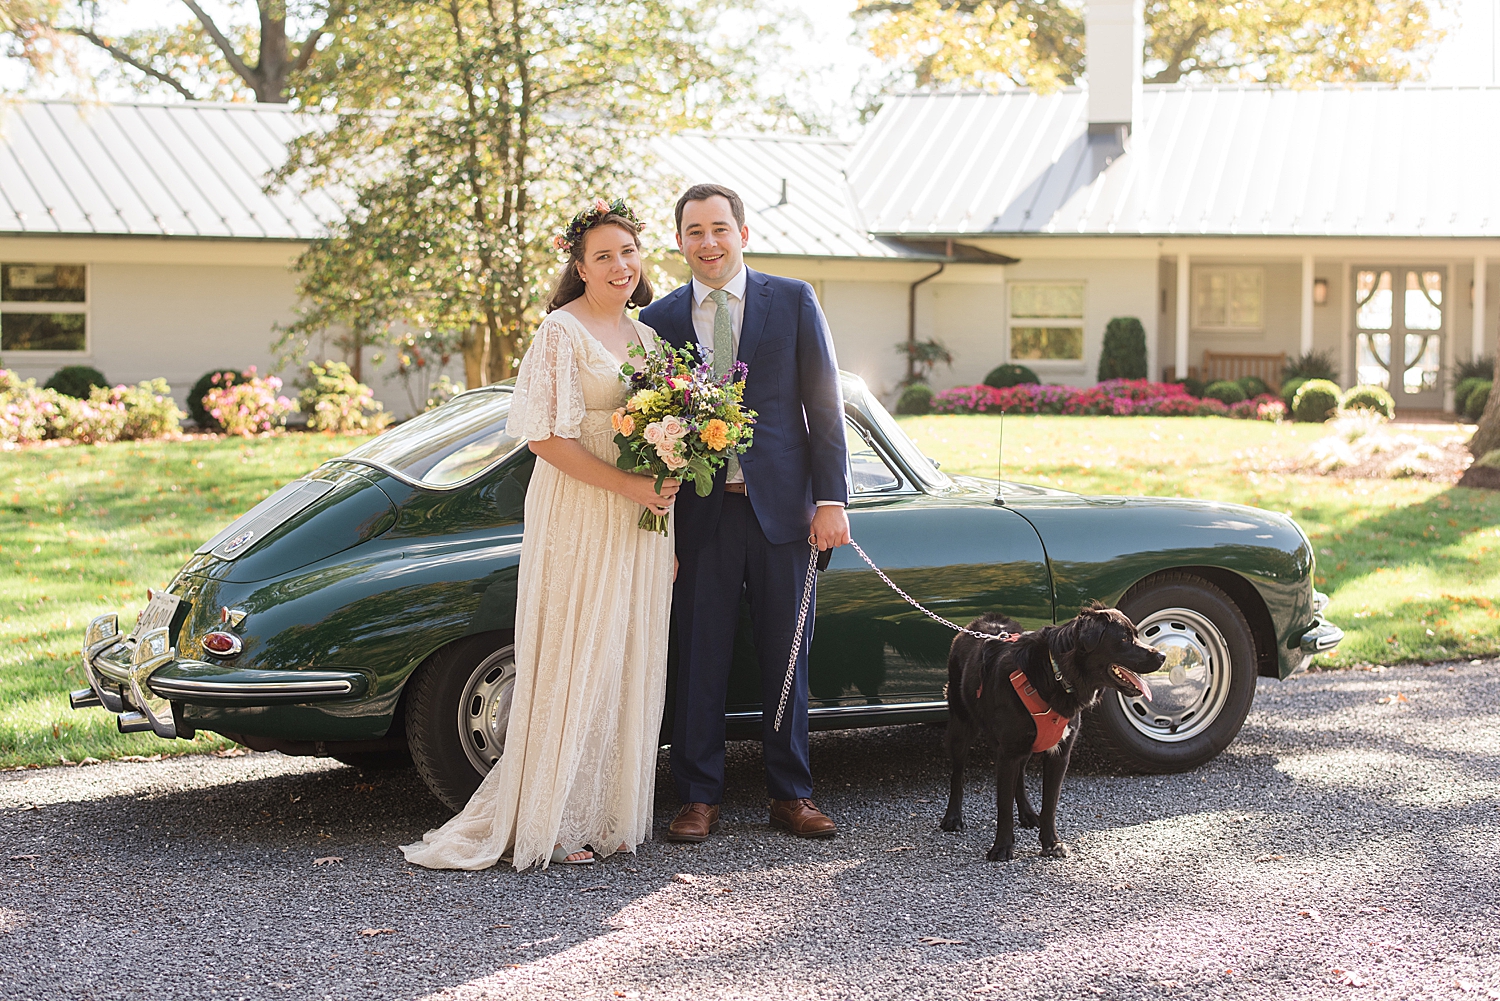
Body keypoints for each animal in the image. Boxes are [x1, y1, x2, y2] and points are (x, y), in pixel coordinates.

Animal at [942, 603, 1164, 864]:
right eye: (1124, 639)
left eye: (1136, 635)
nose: (1163, 656)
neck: (1055, 674)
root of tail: (980, 622)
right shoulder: (1009, 752)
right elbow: (1003, 805)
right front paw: (1002, 847)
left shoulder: (1058, 754)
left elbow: (1049, 804)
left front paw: (1051, 844)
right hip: (962, 726)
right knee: (957, 775)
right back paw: (953, 817)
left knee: (1019, 777)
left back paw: (1028, 814)